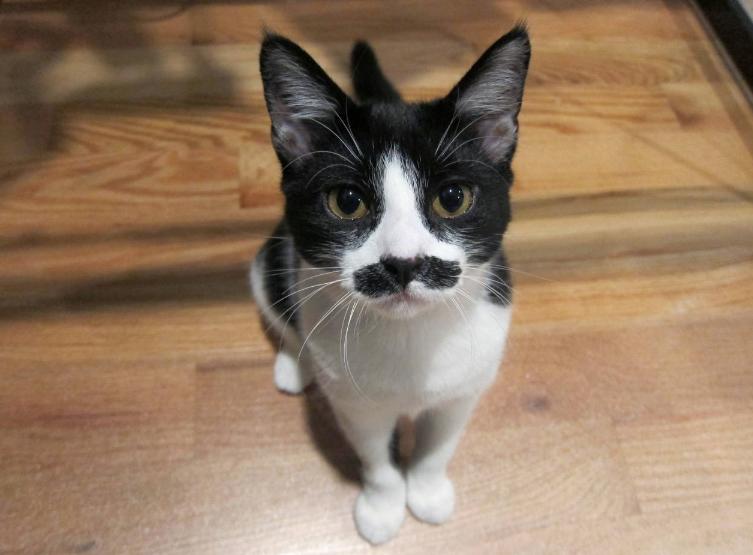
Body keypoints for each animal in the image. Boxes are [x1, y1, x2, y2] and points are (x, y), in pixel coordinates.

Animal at [251, 25, 530, 544]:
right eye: (347, 202)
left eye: (453, 198)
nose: (403, 263)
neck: (410, 339)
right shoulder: (356, 405)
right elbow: (376, 459)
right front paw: (382, 509)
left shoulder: (465, 386)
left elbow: (439, 446)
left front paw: (427, 491)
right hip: (269, 261)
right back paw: (294, 363)